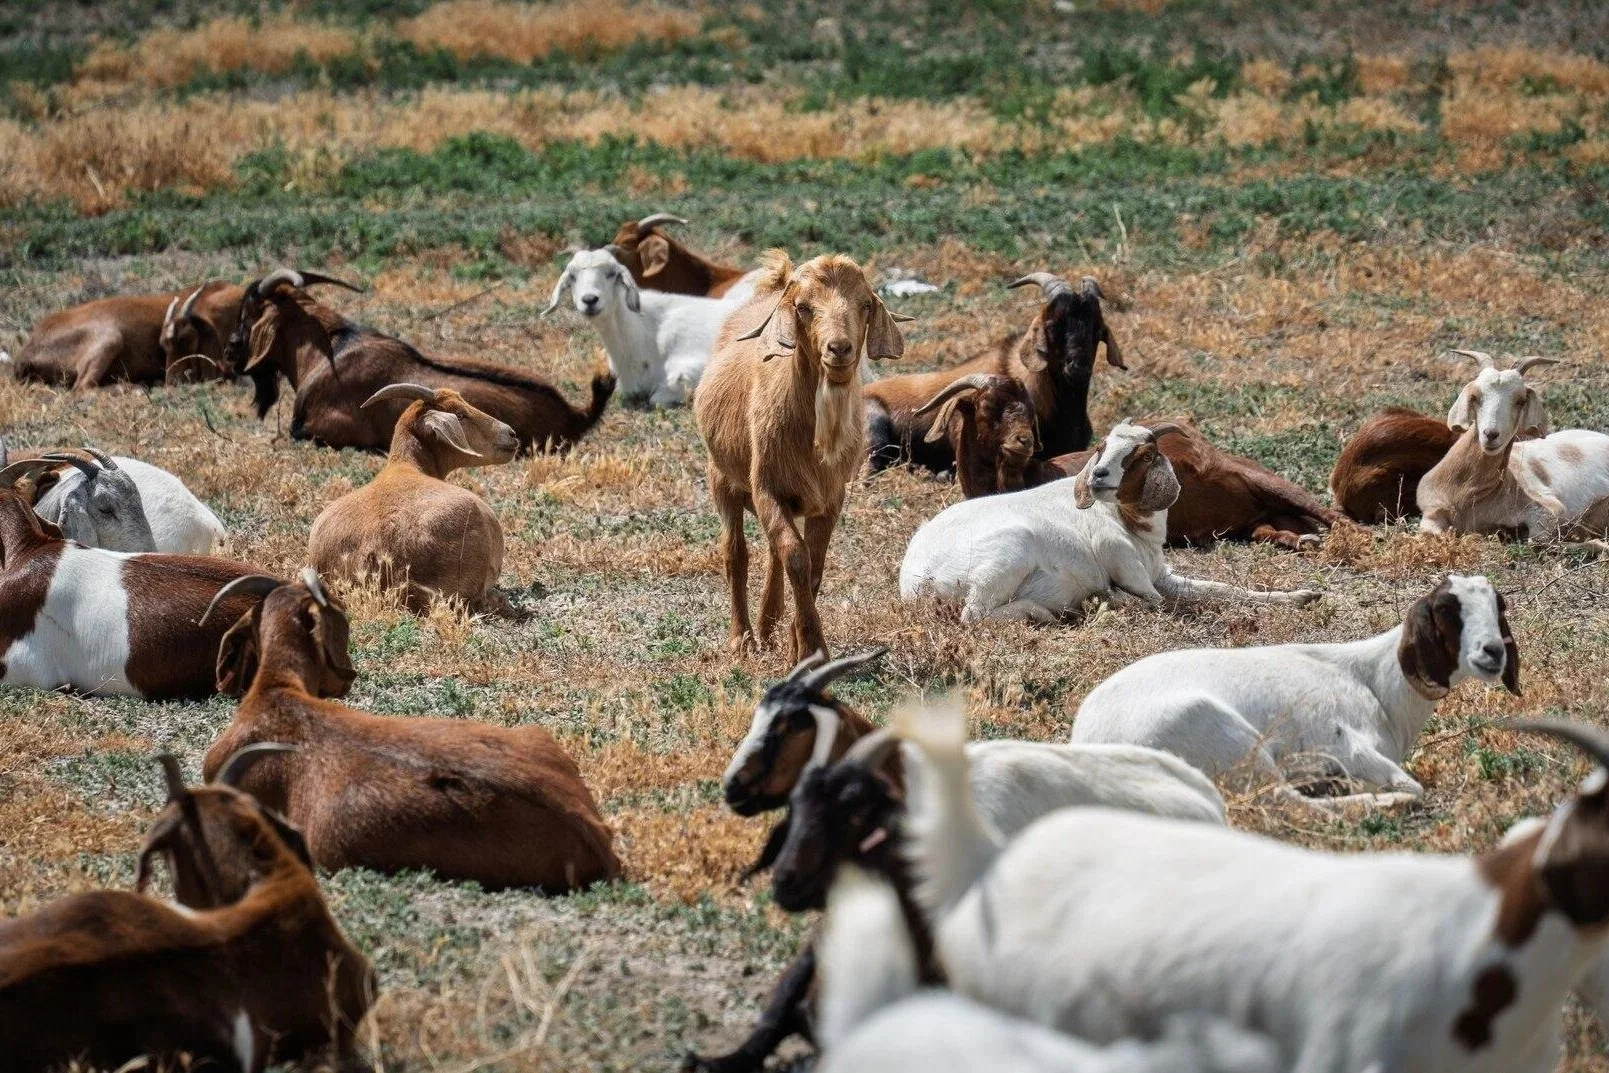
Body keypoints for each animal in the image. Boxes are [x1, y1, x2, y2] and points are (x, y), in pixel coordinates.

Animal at [695, 250, 910, 660]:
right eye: (803, 307)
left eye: (865, 305)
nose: (839, 349)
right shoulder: (766, 488)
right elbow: (796, 556)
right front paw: (811, 650)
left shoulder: (830, 497)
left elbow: (813, 564)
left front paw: (797, 646)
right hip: (721, 477)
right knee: (736, 553)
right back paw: (742, 639)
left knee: (771, 551)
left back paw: (768, 626)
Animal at [900, 420, 1320, 623]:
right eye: (1102, 447)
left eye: (1145, 454)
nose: (1098, 475)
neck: (1129, 524)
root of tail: (914, 581)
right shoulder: (1126, 566)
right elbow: (1169, 604)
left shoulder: (1161, 575)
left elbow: (1221, 589)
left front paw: (1303, 595)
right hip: (1006, 557)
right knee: (974, 617)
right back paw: (1051, 611)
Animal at [1071, 573, 1519, 807]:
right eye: (1447, 610)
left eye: (1498, 607)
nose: (1493, 651)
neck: (1375, 681)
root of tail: (1087, 741)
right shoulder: (1348, 744)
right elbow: (1411, 785)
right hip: (1228, 740)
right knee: (1287, 800)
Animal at [1418, 351, 1609, 545]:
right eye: (1475, 397)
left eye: (1520, 401)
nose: (1491, 434)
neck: (1467, 494)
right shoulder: (1431, 510)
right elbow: (1430, 533)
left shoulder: (1550, 508)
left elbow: (1538, 539)